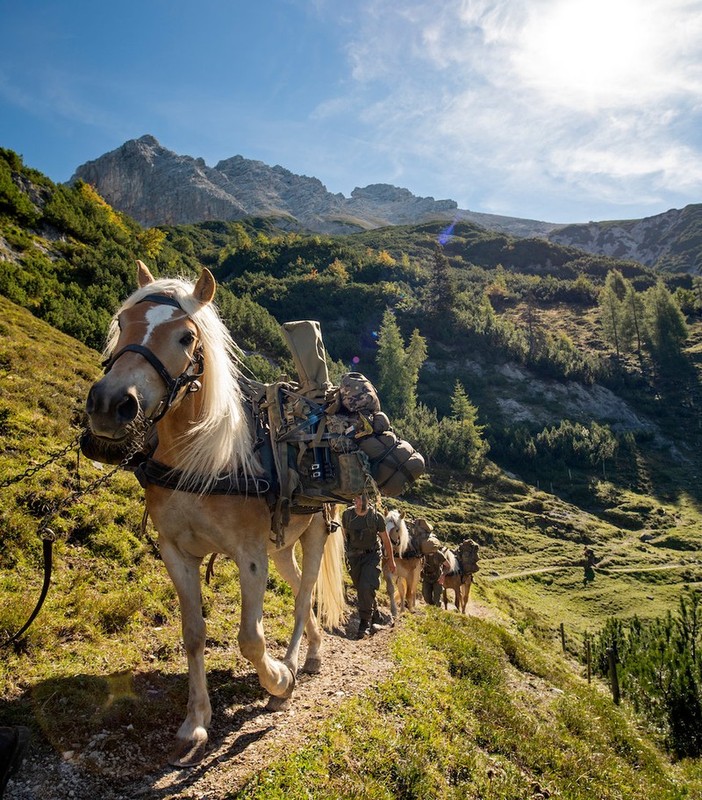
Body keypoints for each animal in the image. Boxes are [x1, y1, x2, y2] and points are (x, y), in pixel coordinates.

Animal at [84, 260, 348, 764]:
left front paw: (277, 680)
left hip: (312, 535)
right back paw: (313, 652)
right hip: (280, 547)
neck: (201, 458)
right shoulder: (176, 552)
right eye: (123, 323)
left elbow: (250, 638)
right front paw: (195, 723)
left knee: (303, 595)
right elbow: (193, 633)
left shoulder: (249, 556)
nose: (110, 404)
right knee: (297, 589)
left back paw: (292, 667)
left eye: (186, 337)